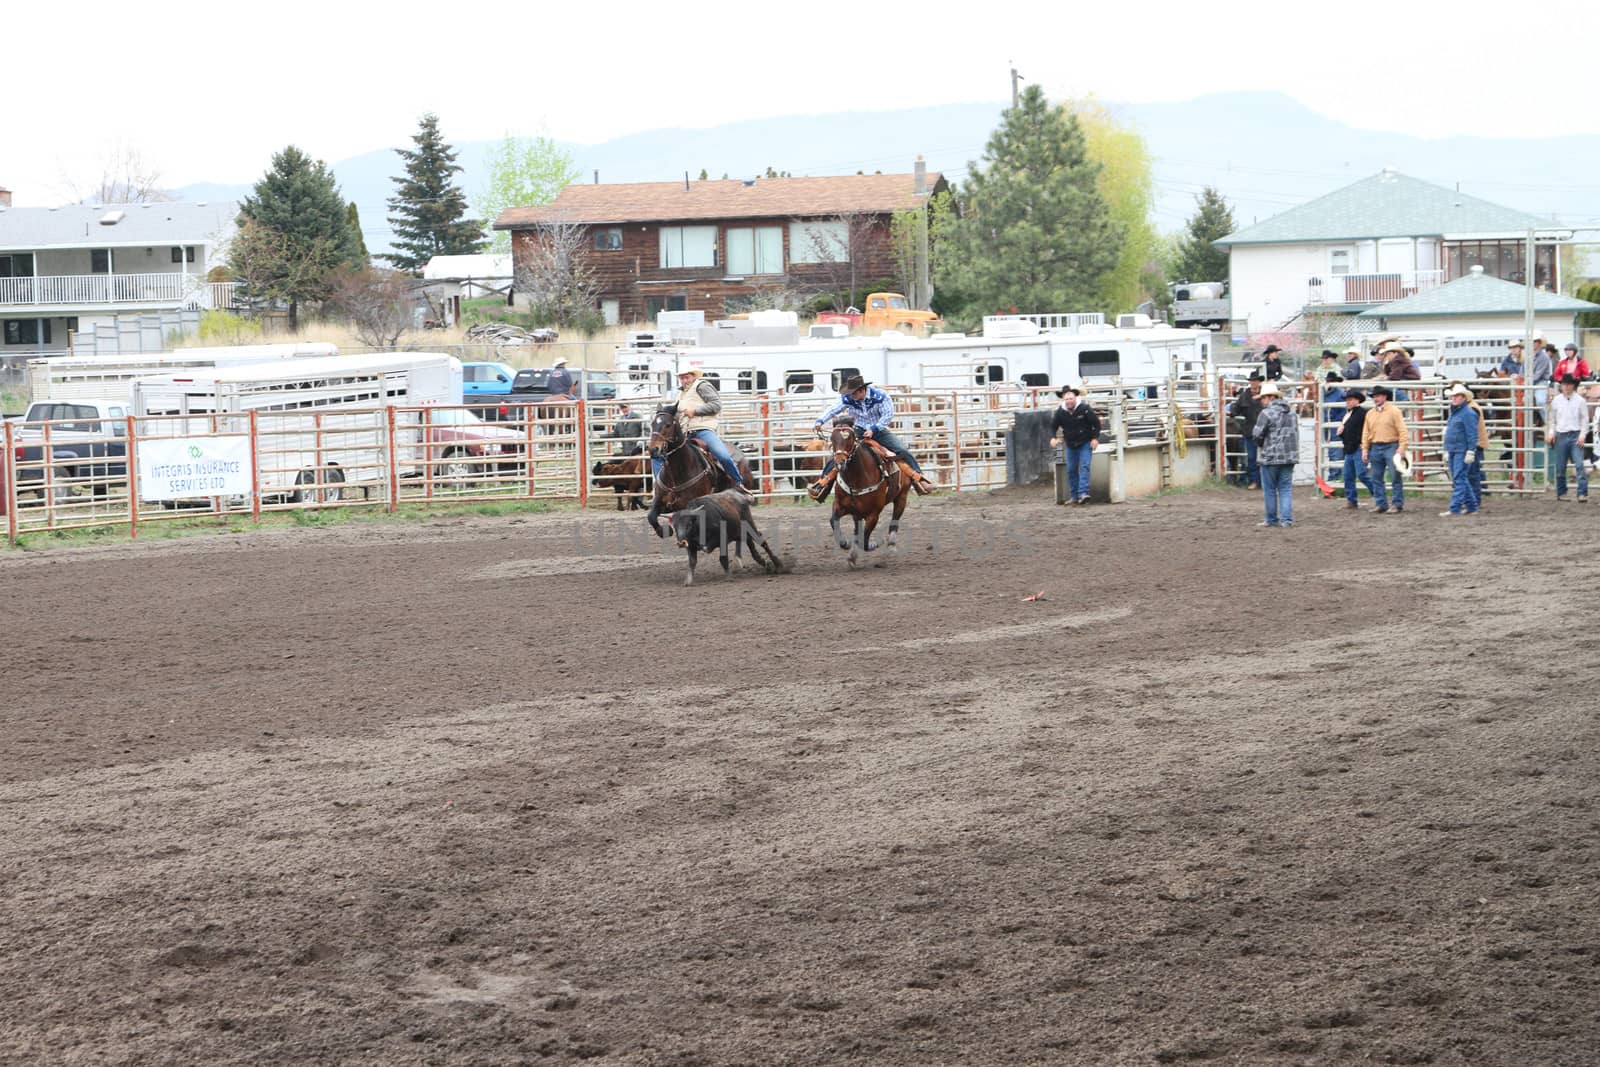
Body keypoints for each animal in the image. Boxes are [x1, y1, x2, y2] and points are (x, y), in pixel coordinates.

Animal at [643, 404, 755, 537]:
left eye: (668, 424)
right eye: (652, 424)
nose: (653, 449)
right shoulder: (662, 503)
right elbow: (651, 516)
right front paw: (664, 531)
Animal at [832, 422, 908, 566]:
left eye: (850, 439)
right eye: (832, 438)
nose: (840, 463)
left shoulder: (874, 514)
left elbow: (864, 538)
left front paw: (874, 545)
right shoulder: (840, 506)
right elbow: (834, 522)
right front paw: (845, 543)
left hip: (902, 497)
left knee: (894, 520)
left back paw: (891, 545)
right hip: (857, 513)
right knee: (857, 530)